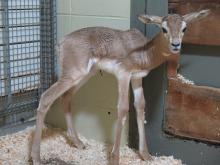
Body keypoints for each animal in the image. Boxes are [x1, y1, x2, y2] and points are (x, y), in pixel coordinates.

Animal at [30, 9, 210, 164]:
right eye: (164, 28)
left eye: (184, 28)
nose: (175, 44)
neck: (144, 52)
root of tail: (61, 42)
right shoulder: (123, 75)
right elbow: (123, 108)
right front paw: (115, 158)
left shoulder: (137, 78)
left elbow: (140, 106)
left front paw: (146, 155)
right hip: (73, 75)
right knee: (46, 97)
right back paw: (36, 158)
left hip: (84, 75)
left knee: (65, 97)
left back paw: (78, 143)